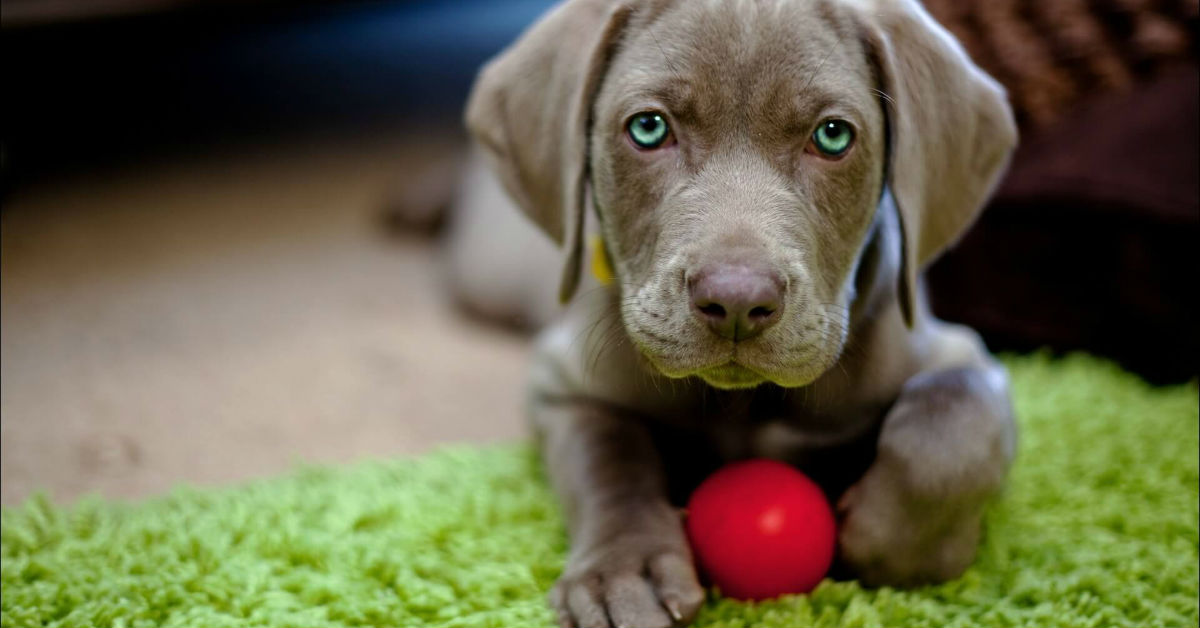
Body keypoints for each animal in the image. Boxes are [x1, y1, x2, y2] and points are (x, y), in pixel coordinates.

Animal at [453, 1, 1017, 628]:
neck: (747, 401)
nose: (738, 302)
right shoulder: (563, 384)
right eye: (648, 128)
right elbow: (607, 456)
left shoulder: (960, 355)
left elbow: (949, 428)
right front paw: (623, 574)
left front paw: (895, 542)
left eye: (833, 135)